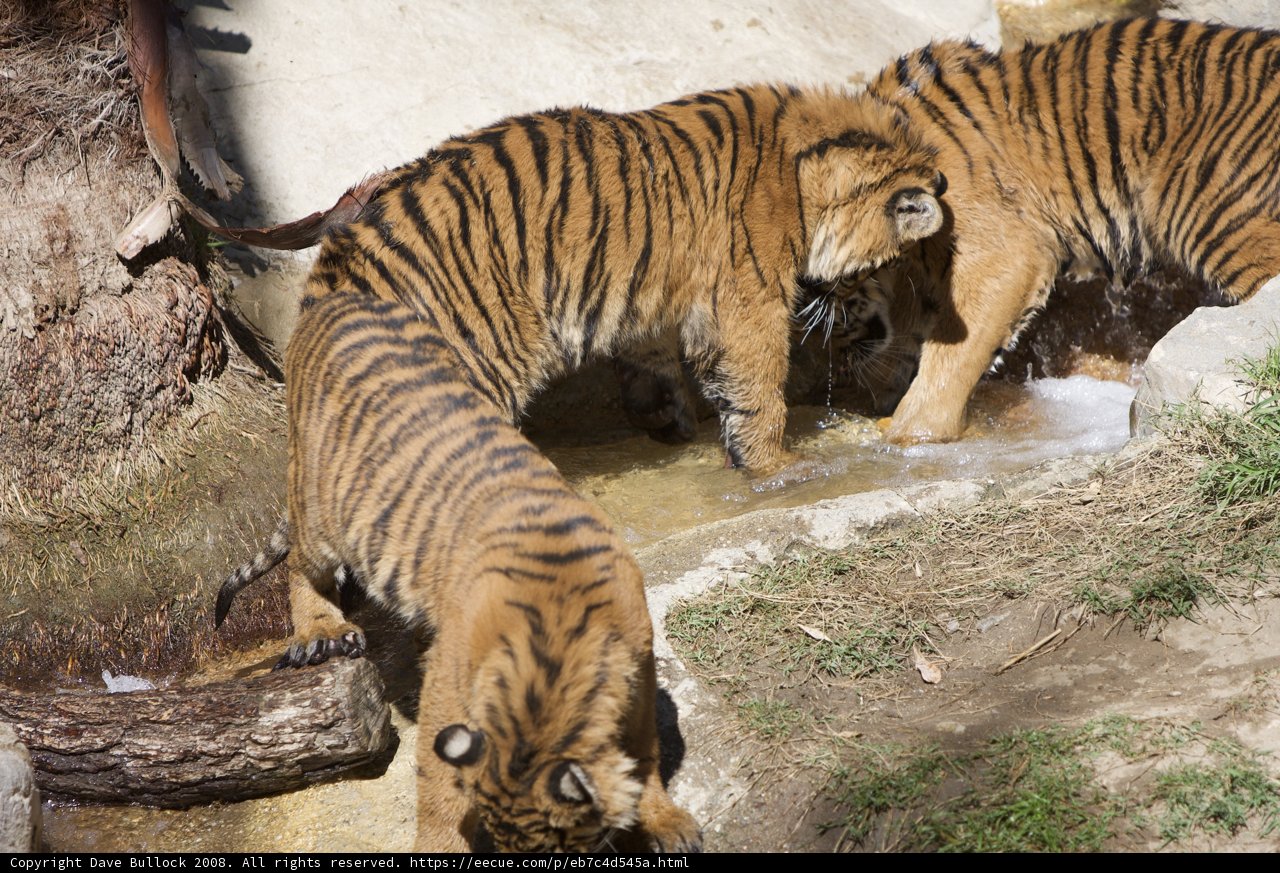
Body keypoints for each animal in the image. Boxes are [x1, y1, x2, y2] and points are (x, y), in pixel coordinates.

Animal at [241, 289, 701, 852]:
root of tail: (338, 298)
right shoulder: (451, 686)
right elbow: (439, 786)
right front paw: (439, 847)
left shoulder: (639, 661)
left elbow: (644, 750)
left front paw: (665, 819)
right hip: (319, 504)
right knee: (303, 568)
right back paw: (320, 632)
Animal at [303, 82, 946, 474]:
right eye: (886, 267)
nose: (854, 318)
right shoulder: (749, 303)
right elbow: (761, 389)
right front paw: (777, 469)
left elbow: (657, 360)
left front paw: (671, 421)